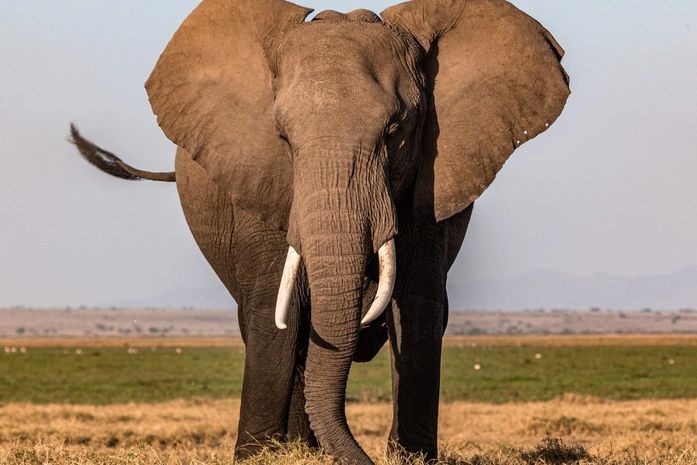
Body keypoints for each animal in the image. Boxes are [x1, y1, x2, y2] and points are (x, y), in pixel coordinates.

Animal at [69, 0, 569, 463]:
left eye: (395, 131)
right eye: (283, 138)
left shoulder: (434, 183)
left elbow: (418, 307)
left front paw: (411, 457)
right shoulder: (261, 185)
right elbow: (277, 311)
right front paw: (257, 456)